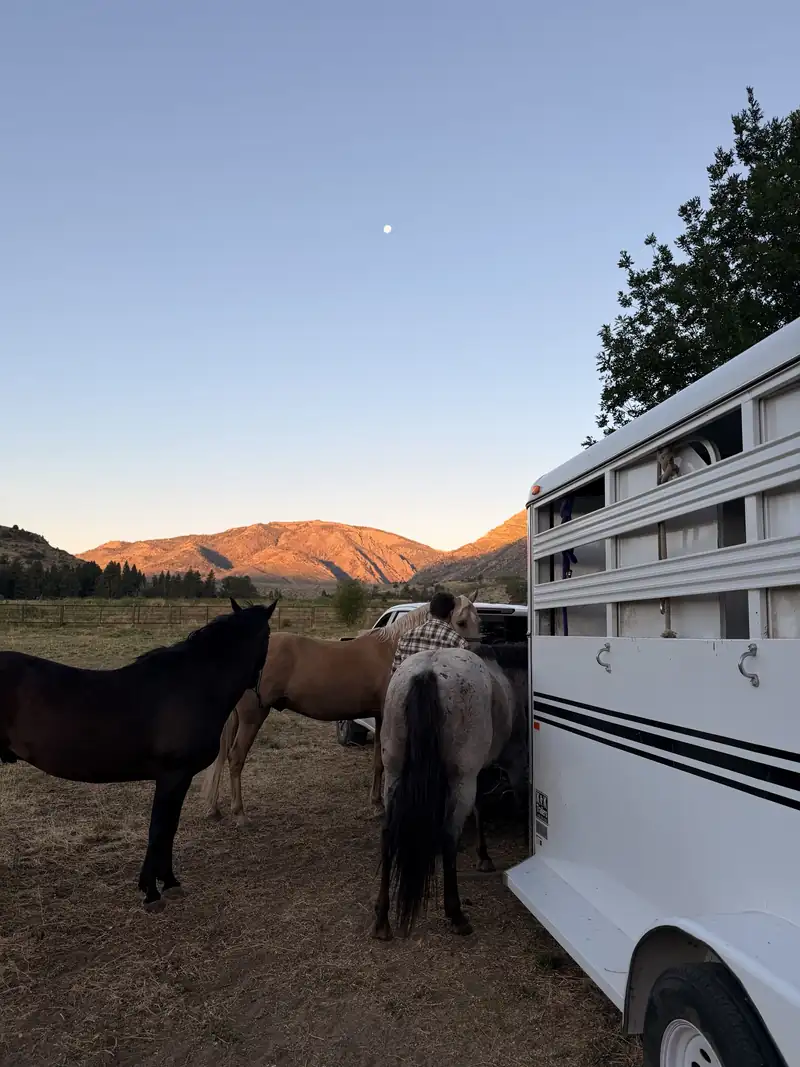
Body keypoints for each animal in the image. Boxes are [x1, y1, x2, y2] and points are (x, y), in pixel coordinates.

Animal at [0, 598, 276, 911]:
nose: (262, 695)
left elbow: (168, 828)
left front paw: (168, 883)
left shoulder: (178, 779)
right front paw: (153, 891)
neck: (193, 685)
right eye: (268, 636)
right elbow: (159, 829)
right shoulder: (172, 776)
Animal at [201, 594, 482, 824]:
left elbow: (378, 761)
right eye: (461, 622)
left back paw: (215, 809)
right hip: (253, 716)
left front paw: (376, 804)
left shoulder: (380, 716)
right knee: (236, 757)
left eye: (479, 621)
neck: (395, 649)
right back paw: (240, 814)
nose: (476, 662)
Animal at [371, 641, 528, 941]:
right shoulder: (513, 764)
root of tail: (427, 672)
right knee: (448, 837)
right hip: (461, 780)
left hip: (395, 773)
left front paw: (484, 856)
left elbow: (480, 808)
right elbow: (518, 802)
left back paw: (382, 919)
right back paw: (456, 915)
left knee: (387, 834)